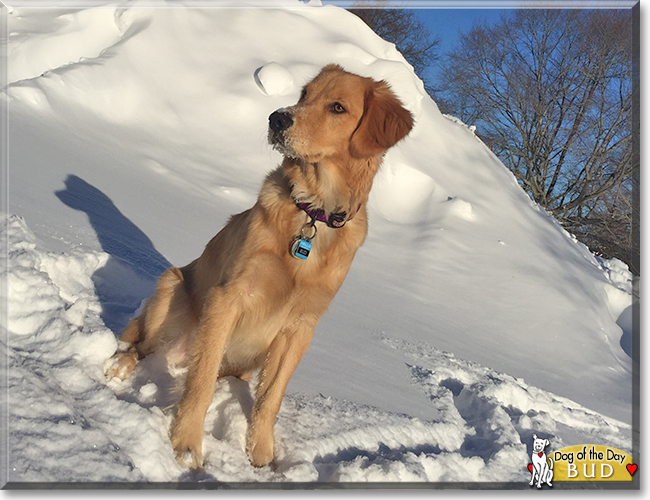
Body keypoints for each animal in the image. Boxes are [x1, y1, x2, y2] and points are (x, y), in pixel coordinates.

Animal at [104, 63, 412, 468]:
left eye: (338, 107)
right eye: (304, 95)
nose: (277, 118)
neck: (313, 212)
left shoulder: (300, 327)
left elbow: (269, 398)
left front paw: (262, 456)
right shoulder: (228, 297)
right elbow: (201, 383)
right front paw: (186, 444)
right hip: (171, 288)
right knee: (143, 346)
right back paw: (119, 366)